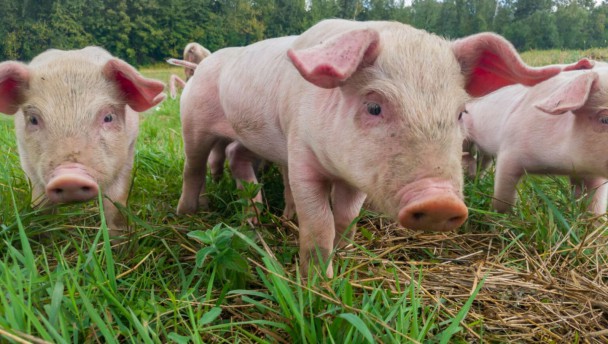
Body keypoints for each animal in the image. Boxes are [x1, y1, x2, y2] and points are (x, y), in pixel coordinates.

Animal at [0, 45, 166, 236]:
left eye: (108, 117)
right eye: (33, 119)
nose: (69, 177)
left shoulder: (129, 151)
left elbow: (115, 203)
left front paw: (121, 239)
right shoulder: (26, 158)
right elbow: (42, 204)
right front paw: (43, 236)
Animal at [177, 18, 576, 276]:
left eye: (461, 113)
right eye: (373, 107)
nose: (439, 201)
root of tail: (207, 62)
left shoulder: (356, 174)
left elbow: (346, 217)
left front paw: (348, 254)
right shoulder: (301, 153)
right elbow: (319, 224)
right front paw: (318, 285)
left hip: (250, 137)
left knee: (235, 157)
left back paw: (256, 218)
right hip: (193, 121)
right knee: (194, 166)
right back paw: (189, 213)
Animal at [460, 61, 608, 214]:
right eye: (604, 119)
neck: (561, 166)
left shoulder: (592, 174)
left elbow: (595, 204)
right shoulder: (511, 150)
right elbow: (503, 194)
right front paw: (502, 214)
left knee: (483, 161)